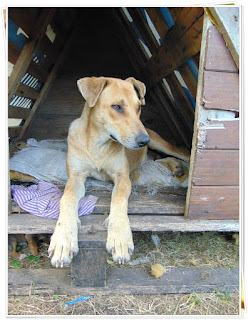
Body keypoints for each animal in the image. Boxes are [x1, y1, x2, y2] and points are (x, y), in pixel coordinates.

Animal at [48, 77, 190, 268]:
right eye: (116, 107)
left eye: (138, 107)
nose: (144, 141)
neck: (98, 145)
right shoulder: (76, 176)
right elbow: (67, 198)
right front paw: (63, 239)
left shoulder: (122, 177)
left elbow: (119, 198)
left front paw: (120, 236)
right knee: (155, 160)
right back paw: (174, 165)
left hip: (160, 143)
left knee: (182, 153)